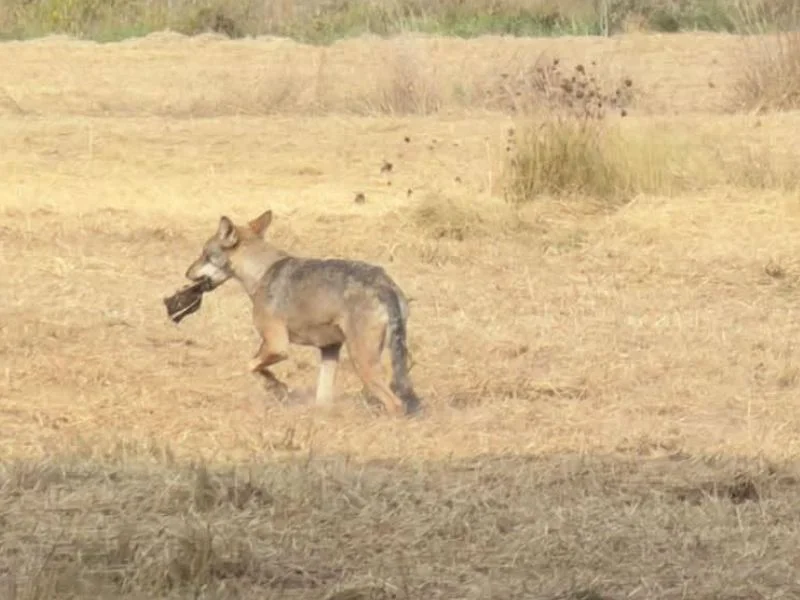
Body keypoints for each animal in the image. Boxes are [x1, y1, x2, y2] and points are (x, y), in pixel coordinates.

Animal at [184, 210, 422, 416]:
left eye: (204, 254)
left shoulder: (277, 346)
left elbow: (251, 365)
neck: (261, 271)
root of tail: (384, 285)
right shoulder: (329, 349)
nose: (187, 273)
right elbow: (320, 398)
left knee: (396, 404)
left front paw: (275, 385)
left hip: (363, 362)